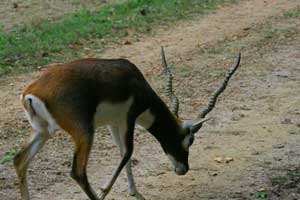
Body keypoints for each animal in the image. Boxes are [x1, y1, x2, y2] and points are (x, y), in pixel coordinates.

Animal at [14, 47, 241, 200]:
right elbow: (128, 153)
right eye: (190, 140)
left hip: (42, 131)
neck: (136, 82)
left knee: (19, 160)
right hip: (84, 132)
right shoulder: (129, 117)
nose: (183, 169)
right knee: (78, 172)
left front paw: (135, 192)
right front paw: (105, 191)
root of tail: (32, 93)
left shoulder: (113, 123)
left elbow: (124, 154)